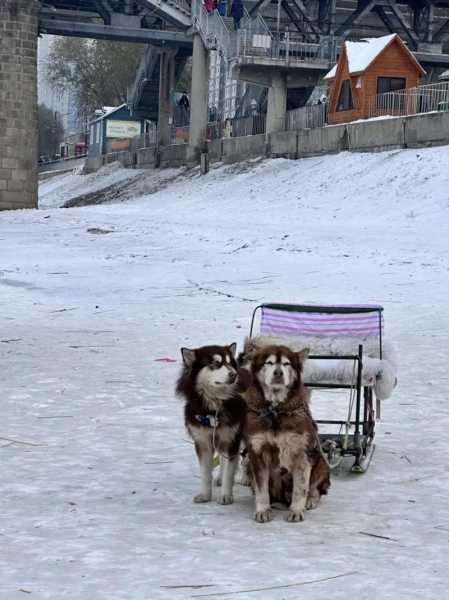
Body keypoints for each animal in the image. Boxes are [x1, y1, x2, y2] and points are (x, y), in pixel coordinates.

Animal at [175, 344, 247, 504]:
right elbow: (206, 473)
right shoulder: (202, 442)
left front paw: (226, 495)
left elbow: (229, 472)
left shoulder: (232, 438)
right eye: (215, 363)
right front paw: (205, 495)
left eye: (229, 363)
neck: (213, 408)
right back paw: (219, 477)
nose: (234, 374)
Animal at [242, 344, 328, 524]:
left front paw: (296, 511)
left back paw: (310, 500)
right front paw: (263, 510)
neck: (275, 410)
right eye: (269, 363)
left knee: (315, 488)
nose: (278, 373)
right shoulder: (257, 453)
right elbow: (261, 490)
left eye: (286, 364)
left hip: (321, 463)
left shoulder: (302, 453)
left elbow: (300, 488)